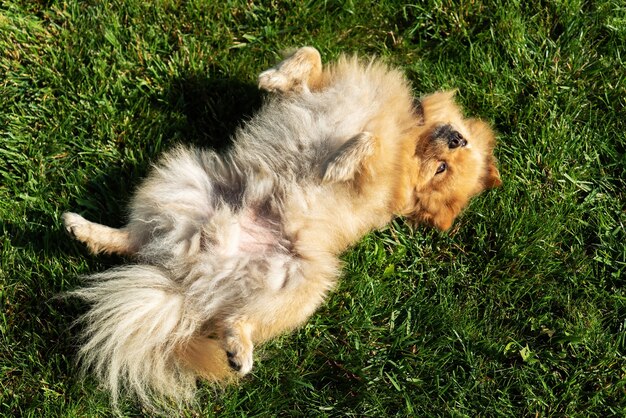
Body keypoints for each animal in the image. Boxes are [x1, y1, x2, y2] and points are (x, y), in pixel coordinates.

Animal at [62, 46, 498, 408]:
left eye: (442, 170)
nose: (457, 140)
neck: (408, 134)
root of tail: (191, 282)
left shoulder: (372, 186)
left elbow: (368, 142)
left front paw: (340, 160)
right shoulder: (314, 91)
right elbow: (311, 56)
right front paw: (274, 75)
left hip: (303, 283)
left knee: (238, 318)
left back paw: (239, 349)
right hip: (183, 179)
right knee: (136, 239)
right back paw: (87, 230)